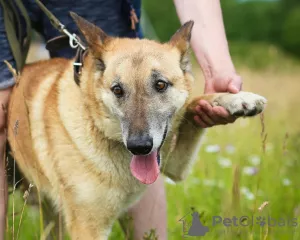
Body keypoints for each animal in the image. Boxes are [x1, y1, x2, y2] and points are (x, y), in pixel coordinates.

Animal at [6, 12, 264, 239]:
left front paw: (235, 99)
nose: (139, 147)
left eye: (160, 85)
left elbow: (193, 104)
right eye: (117, 90)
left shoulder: (175, 165)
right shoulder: (88, 228)